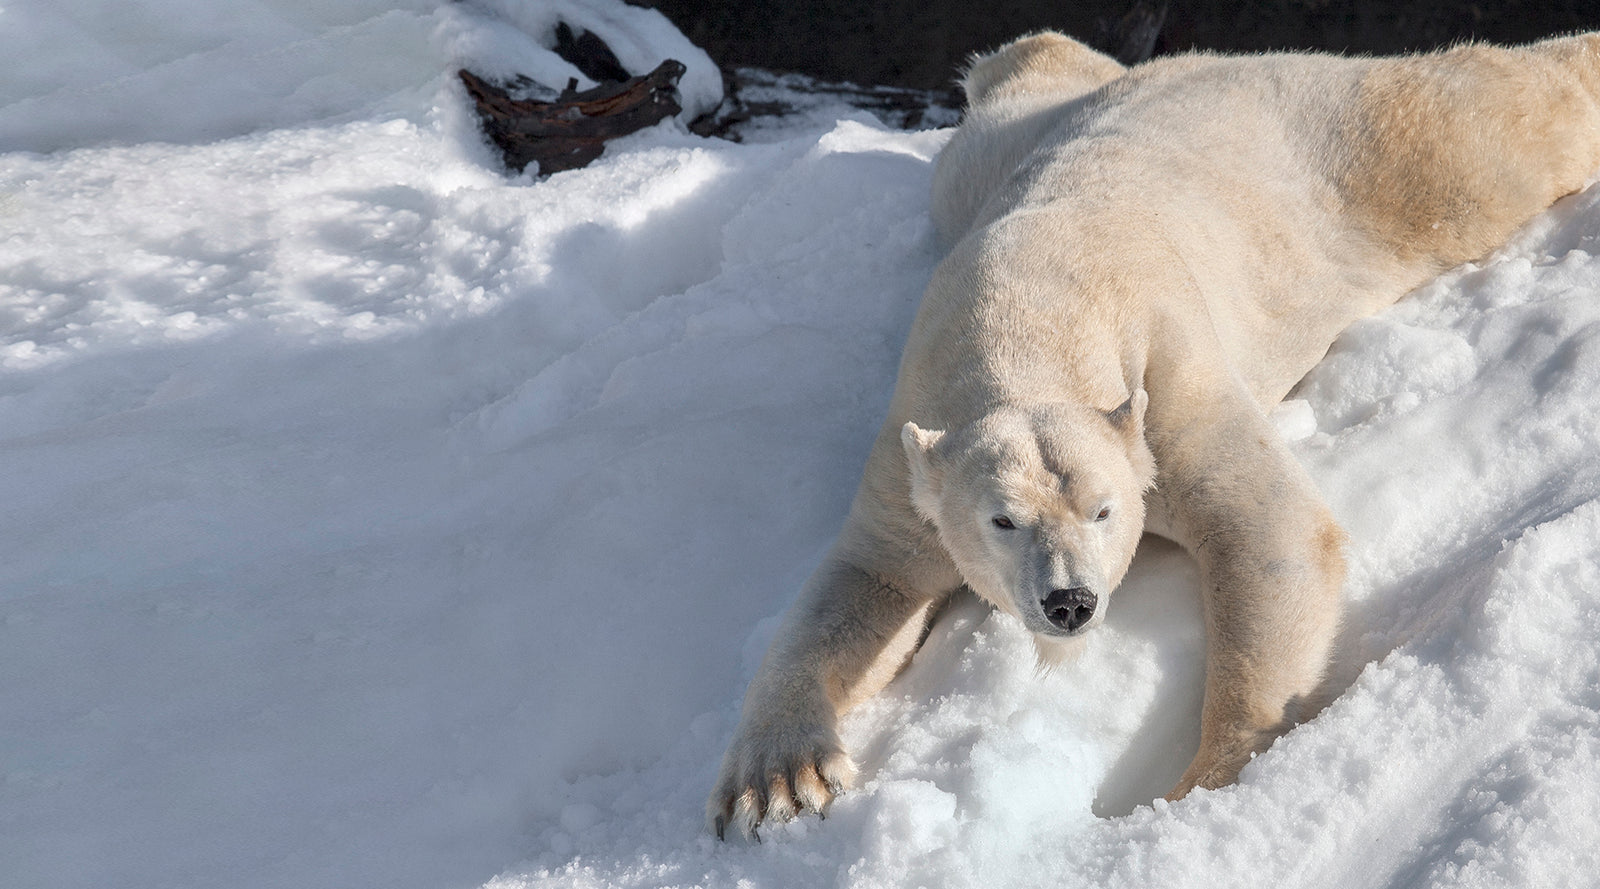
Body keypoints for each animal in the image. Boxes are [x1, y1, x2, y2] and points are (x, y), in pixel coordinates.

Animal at [708, 31, 1600, 839]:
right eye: (1003, 519)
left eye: (1104, 511)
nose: (1069, 601)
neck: (1023, 317)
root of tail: (1204, 63)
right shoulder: (912, 439)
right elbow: (870, 581)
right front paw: (779, 780)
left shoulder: (1165, 382)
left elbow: (1267, 527)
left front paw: (1202, 781)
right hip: (996, 146)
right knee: (1023, 70)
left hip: (1349, 150)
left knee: (1486, 132)